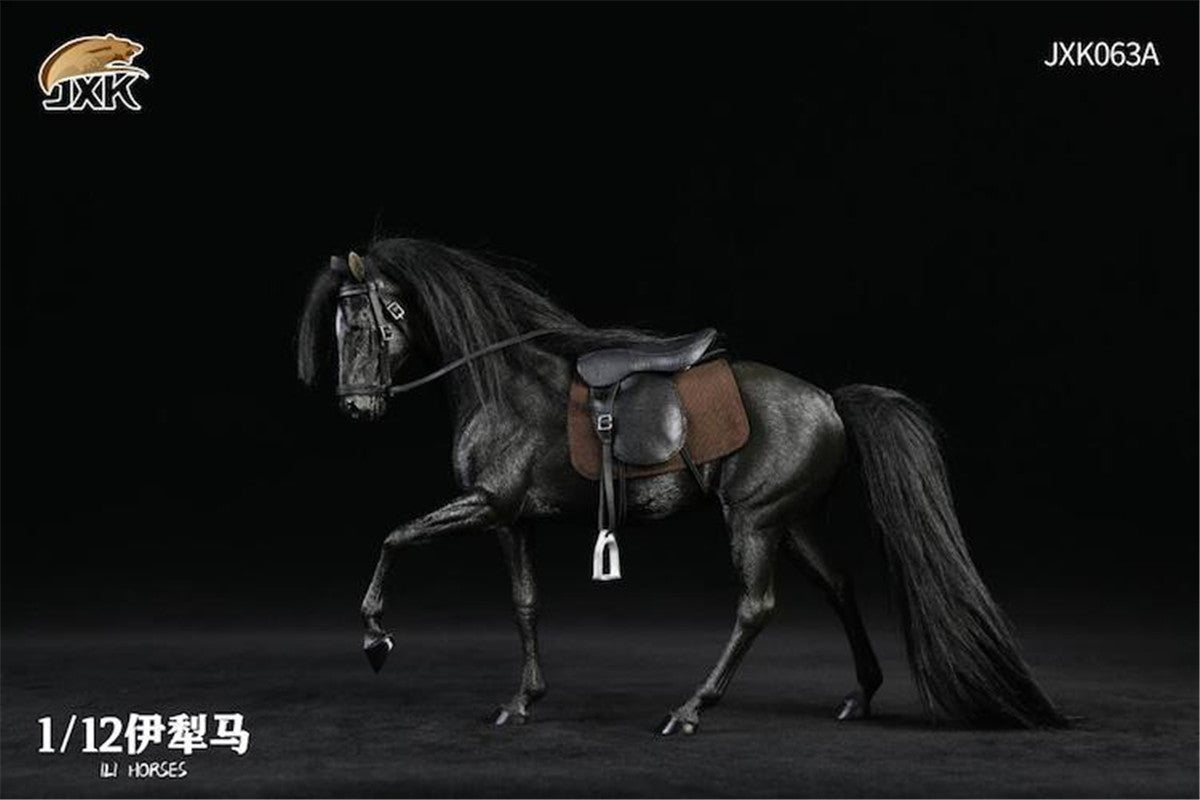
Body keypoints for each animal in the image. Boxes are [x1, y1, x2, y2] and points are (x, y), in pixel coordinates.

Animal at [296, 237, 1066, 735]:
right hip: (794, 520)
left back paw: (692, 709)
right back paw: (860, 695)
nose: (357, 406)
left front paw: (375, 638)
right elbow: (525, 605)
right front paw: (524, 700)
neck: (504, 386)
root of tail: (828, 400)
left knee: (756, 607)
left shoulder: (489, 506)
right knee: (839, 586)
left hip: (755, 520)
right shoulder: (514, 520)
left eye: (367, 321)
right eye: (336, 324)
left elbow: (394, 536)